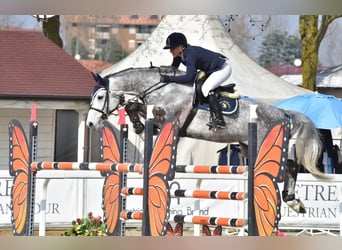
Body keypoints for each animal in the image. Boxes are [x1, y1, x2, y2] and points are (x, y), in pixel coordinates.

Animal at [85, 66, 328, 213]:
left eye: (100, 96)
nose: (90, 124)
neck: (160, 87)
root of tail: (283, 113)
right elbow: (134, 107)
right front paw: (138, 126)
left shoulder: (170, 116)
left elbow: (135, 106)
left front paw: (138, 125)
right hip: (249, 146)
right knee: (288, 166)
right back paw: (293, 201)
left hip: (264, 143)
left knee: (291, 165)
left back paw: (293, 201)